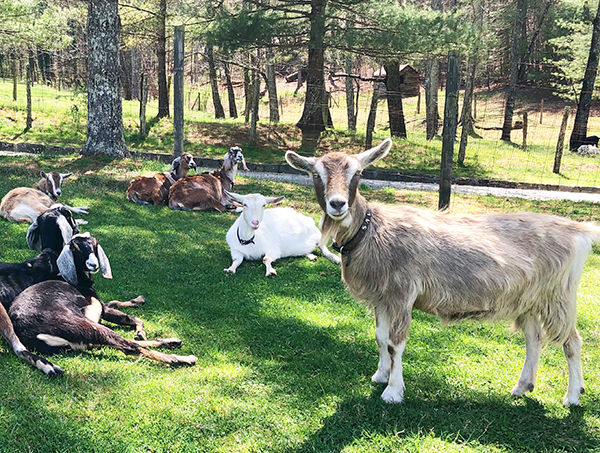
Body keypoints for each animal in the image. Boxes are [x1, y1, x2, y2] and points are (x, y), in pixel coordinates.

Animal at [8, 233, 197, 368]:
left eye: (94, 245)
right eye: (76, 248)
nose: (93, 265)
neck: (77, 280)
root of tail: (31, 332)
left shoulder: (100, 307)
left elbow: (121, 308)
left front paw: (140, 326)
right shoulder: (100, 308)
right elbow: (123, 312)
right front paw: (140, 322)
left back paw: (171, 341)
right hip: (85, 325)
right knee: (128, 346)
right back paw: (181, 358)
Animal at [284, 139, 600, 406]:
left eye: (358, 173)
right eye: (315, 174)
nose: (337, 204)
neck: (371, 231)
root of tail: (580, 231)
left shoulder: (402, 293)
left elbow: (395, 343)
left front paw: (393, 392)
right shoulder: (383, 298)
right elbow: (380, 337)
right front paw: (380, 376)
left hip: (558, 296)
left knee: (572, 342)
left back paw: (573, 396)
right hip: (530, 299)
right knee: (534, 339)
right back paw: (523, 386)